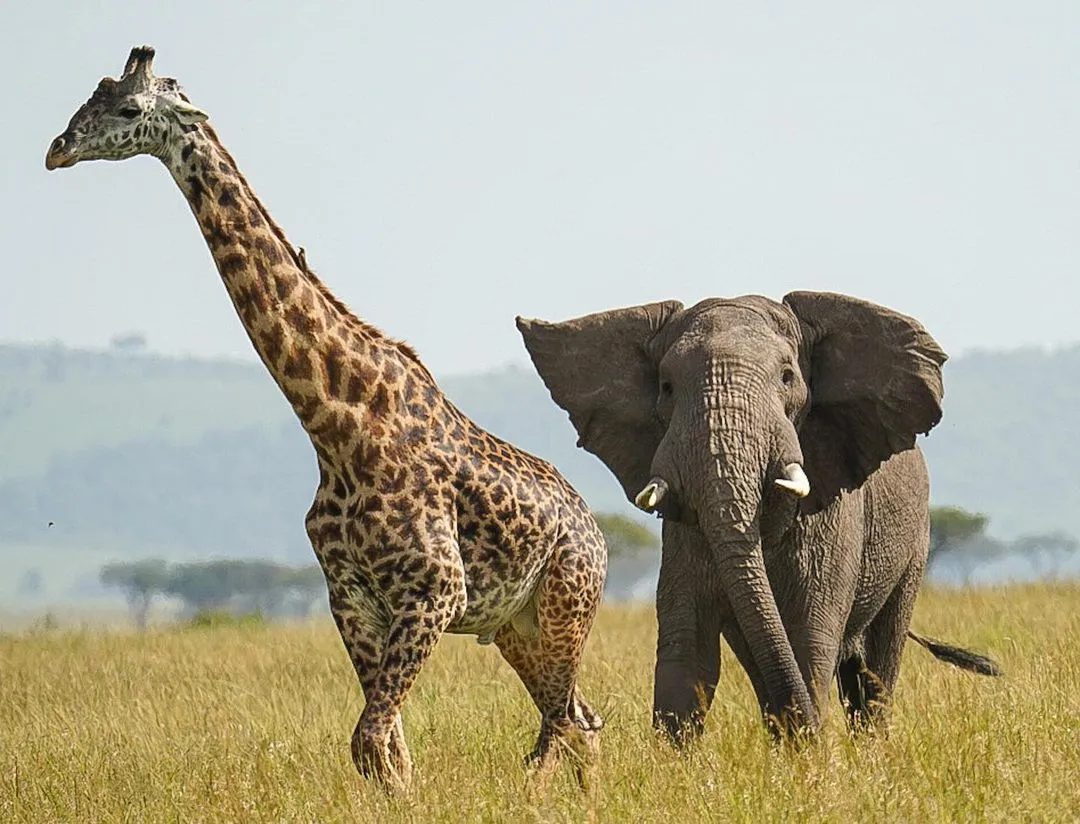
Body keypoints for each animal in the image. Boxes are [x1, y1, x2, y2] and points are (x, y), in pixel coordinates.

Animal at [46, 46, 607, 790]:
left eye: (130, 108)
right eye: (91, 96)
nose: (56, 149)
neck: (337, 425)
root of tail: (598, 534)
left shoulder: (435, 592)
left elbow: (372, 741)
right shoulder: (351, 595)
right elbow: (387, 748)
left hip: (564, 607)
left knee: (571, 725)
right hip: (518, 626)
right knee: (576, 720)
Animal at [517, 291, 1000, 741]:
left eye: (787, 377)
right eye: (667, 386)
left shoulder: (833, 516)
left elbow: (806, 640)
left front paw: (808, 761)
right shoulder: (684, 536)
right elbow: (687, 654)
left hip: (914, 549)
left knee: (876, 669)